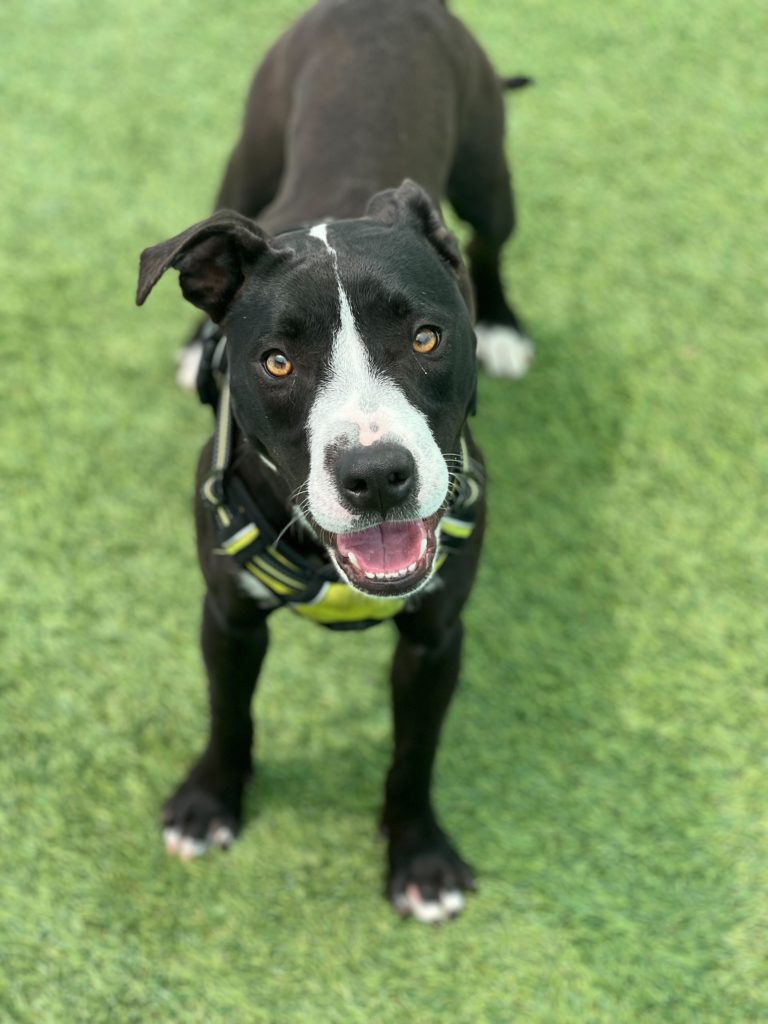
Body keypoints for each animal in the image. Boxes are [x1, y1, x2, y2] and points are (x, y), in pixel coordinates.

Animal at [138, 0, 532, 925]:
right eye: (277, 362)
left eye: (426, 337)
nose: (377, 474)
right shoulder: (228, 616)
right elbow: (229, 714)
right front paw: (209, 804)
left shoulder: (435, 637)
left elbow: (414, 755)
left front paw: (419, 859)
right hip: (242, 164)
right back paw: (193, 342)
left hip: (488, 177)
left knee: (488, 246)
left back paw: (502, 321)